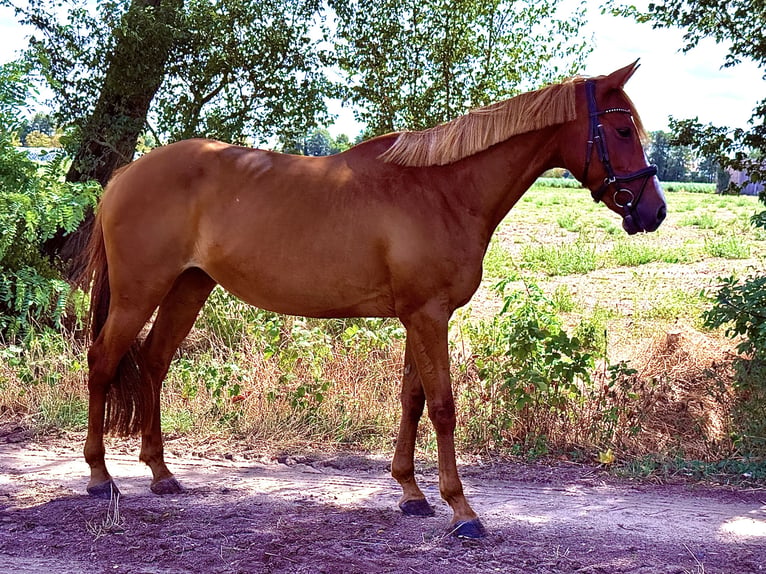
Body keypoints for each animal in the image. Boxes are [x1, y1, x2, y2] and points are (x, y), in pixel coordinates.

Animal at [78, 61, 666, 538]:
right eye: (620, 129)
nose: (654, 211)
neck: (442, 191)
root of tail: (126, 174)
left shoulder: (419, 316)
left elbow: (413, 399)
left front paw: (411, 494)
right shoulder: (427, 316)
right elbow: (443, 406)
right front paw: (462, 511)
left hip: (189, 286)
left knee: (154, 362)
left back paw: (161, 474)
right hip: (138, 293)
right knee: (103, 362)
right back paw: (100, 477)